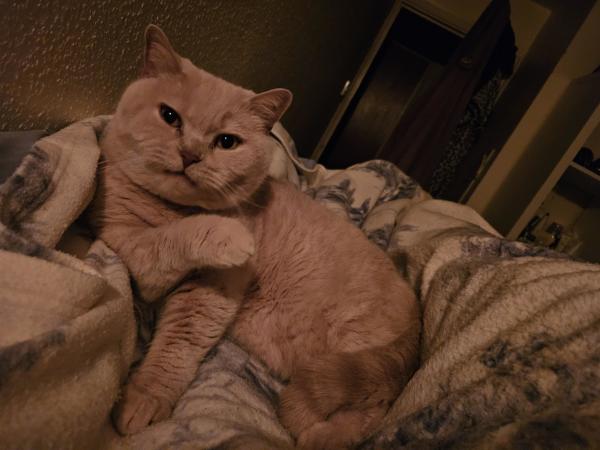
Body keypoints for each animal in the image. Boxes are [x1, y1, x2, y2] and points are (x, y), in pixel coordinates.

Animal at [95, 25, 422, 450]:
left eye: (226, 142)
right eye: (170, 117)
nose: (191, 154)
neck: (172, 209)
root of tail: (417, 317)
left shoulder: (207, 291)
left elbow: (177, 345)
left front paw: (144, 398)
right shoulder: (128, 244)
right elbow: (168, 241)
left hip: (356, 346)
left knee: (372, 409)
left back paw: (320, 436)